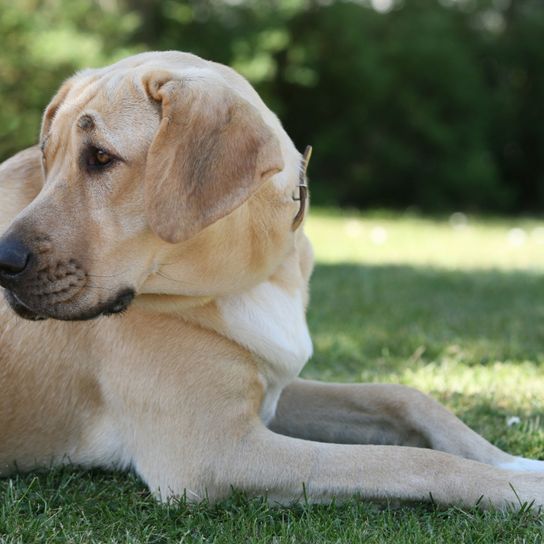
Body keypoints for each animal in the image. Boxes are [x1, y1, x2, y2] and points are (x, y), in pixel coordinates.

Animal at [1, 52, 544, 510]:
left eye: (100, 157)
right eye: (49, 157)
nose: (2, 261)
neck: (253, 278)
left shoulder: (271, 388)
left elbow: (402, 395)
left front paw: (517, 461)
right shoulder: (216, 451)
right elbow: (414, 463)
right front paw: (519, 490)